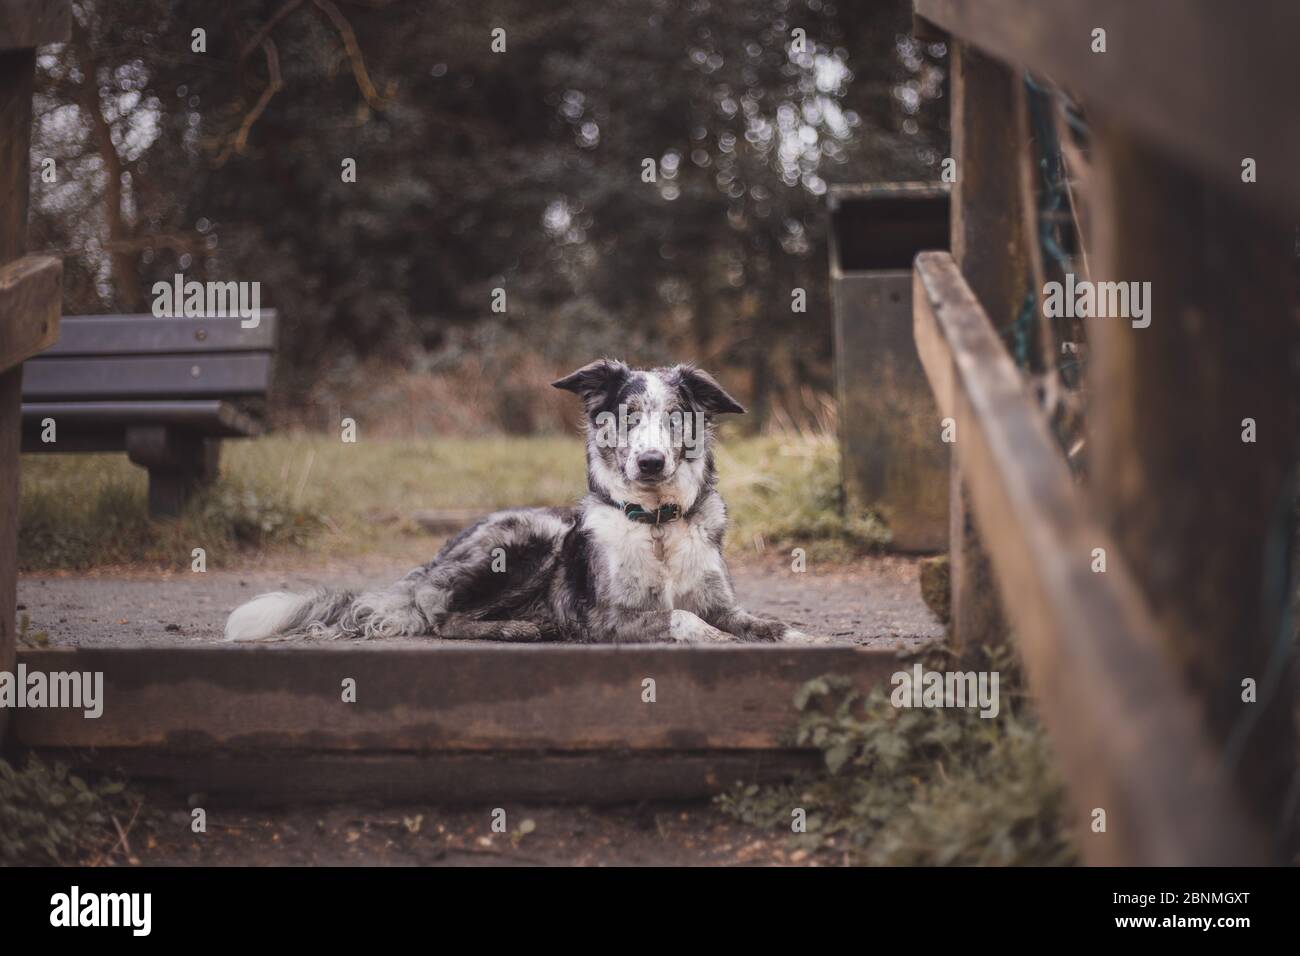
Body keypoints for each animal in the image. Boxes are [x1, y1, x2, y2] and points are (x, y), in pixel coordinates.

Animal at [223, 361, 811, 647]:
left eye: (675, 416)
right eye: (627, 415)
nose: (650, 463)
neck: (657, 523)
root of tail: (431, 564)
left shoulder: (720, 599)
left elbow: (757, 620)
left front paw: (798, 634)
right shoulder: (600, 617)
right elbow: (682, 617)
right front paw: (714, 637)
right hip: (534, 535)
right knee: (441, 614)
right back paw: (518, 628)